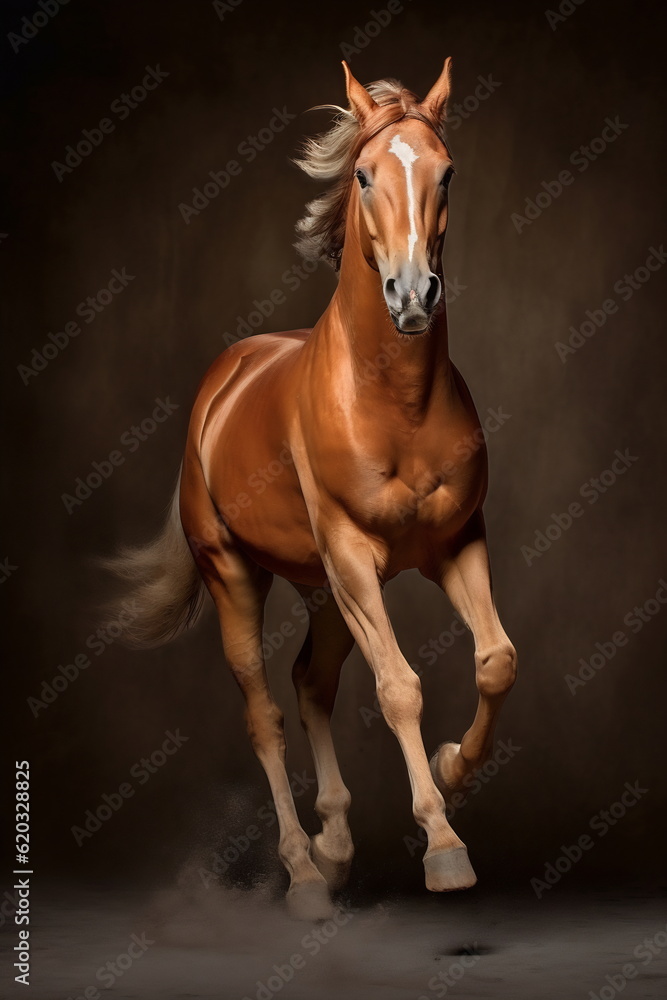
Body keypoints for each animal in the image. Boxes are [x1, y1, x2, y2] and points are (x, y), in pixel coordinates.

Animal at [106, 58, 517, 921]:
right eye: (362, 175)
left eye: (446, 172)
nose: (411, 296)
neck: (391, 399)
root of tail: (222, 379)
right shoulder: (355, 558)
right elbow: (398, 689)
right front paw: (443, 844)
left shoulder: (456, 543)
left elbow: (495, 660)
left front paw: (453, 766)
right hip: (237, 573)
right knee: (263, 714)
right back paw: (300, 871)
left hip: (323, 589)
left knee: (310, 685)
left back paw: (333, 846)